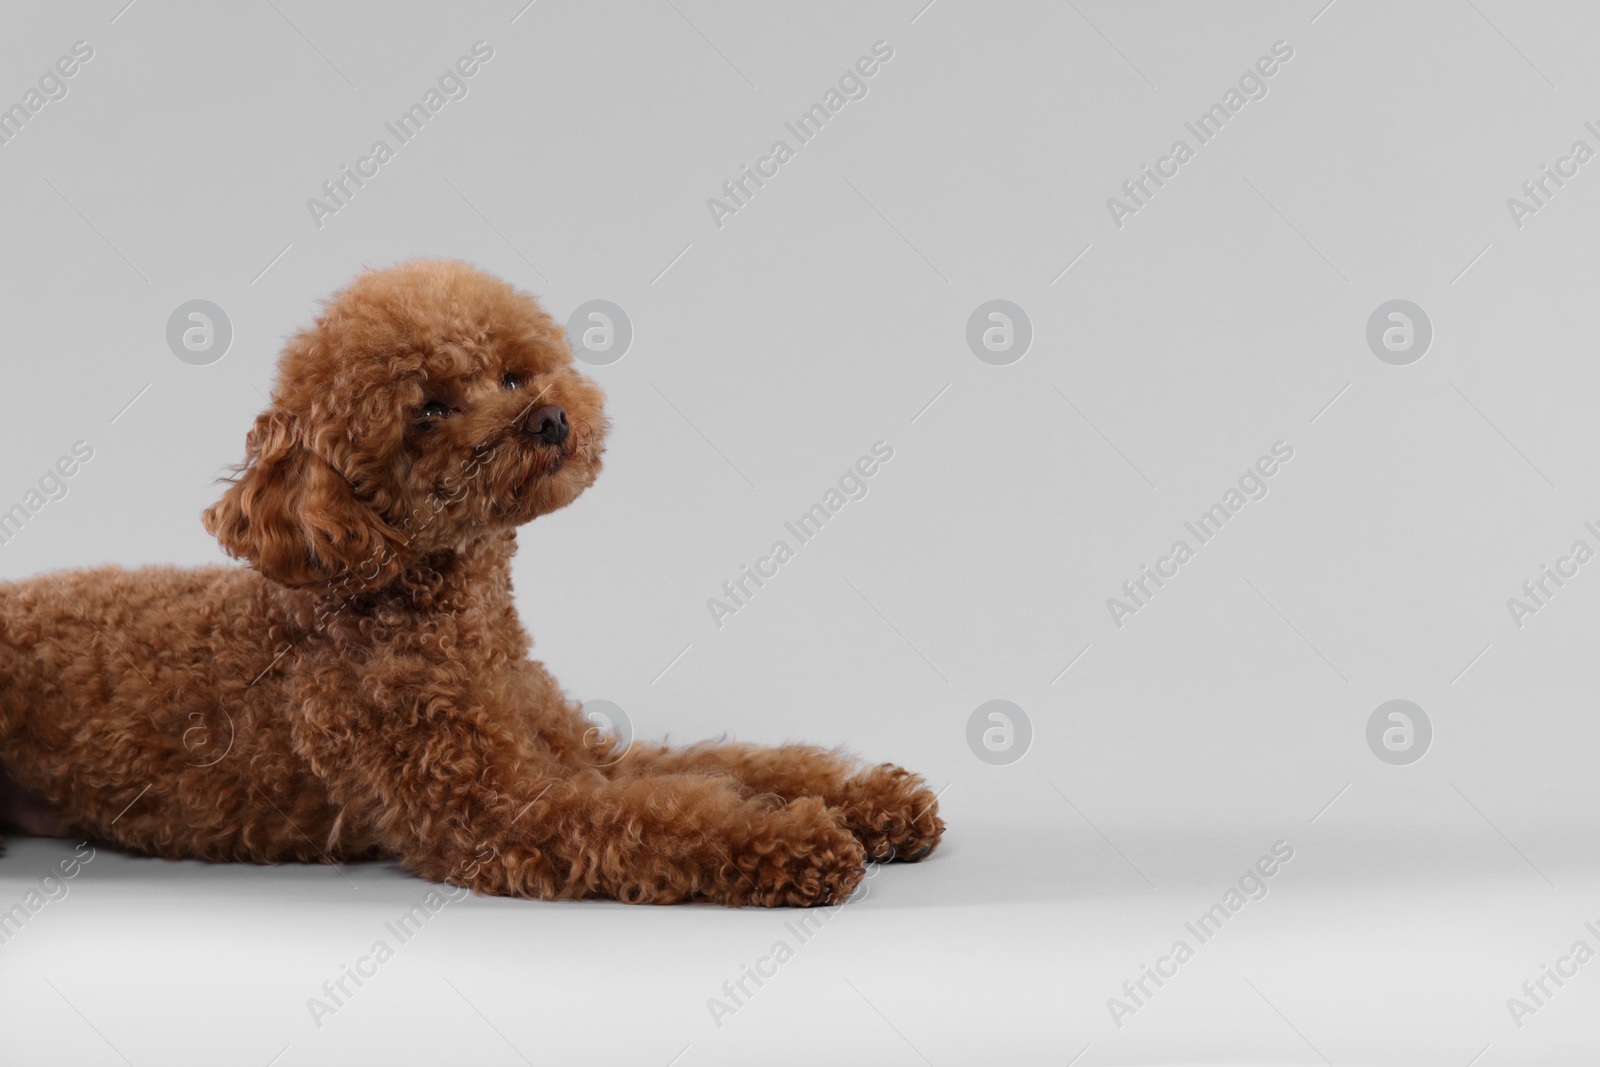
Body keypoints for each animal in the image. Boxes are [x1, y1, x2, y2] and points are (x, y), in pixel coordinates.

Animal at [0, 262, 940, 908]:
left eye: (512, 373)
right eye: (429, 410)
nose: (551, 418)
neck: (448, 620)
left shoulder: (579, 753)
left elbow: (724, 765)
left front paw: (874, 801)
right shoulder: (502, 811)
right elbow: (664, 816)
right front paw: (800, 840)